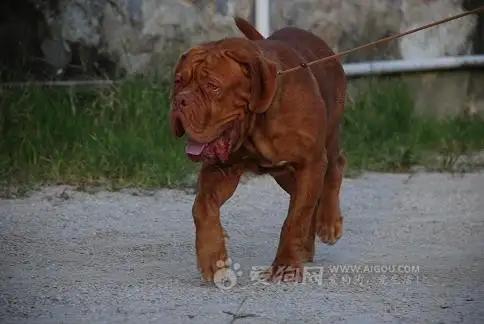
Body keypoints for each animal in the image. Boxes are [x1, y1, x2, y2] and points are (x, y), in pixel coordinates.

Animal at [168, 16, 346, 282]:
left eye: (212, 86)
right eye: (179, 81)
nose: (181, 100)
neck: (255, 127)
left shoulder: (311, 163)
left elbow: (295, 219)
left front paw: (286, 265)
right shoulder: (220, 169)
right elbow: (202, 208)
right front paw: (213, 258)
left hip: (328, 140)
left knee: (335, 167)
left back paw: (329, 222)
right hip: (285, 175)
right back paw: (307, 245)